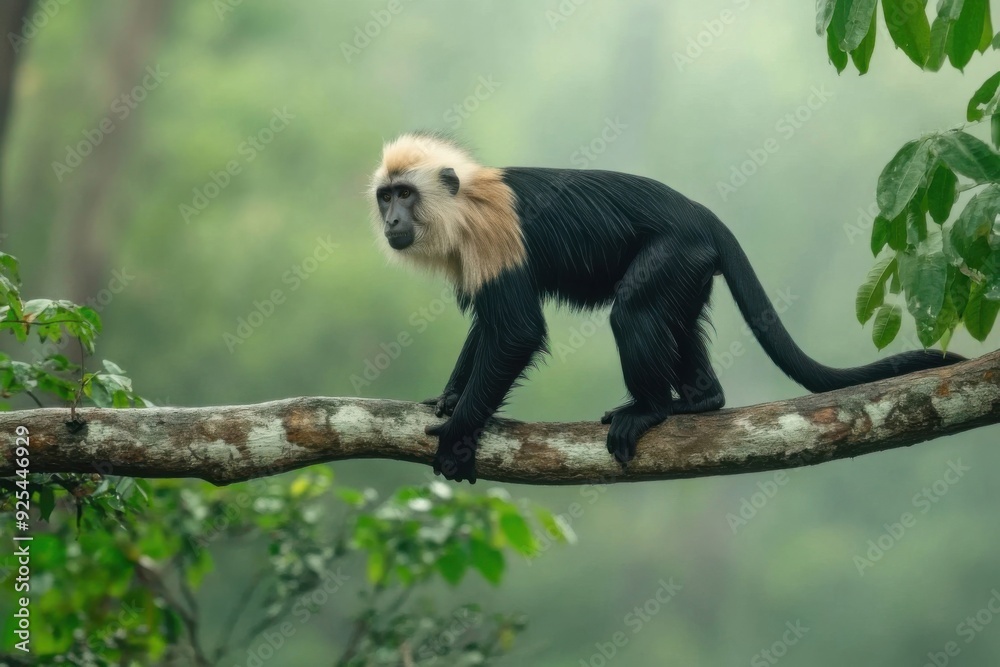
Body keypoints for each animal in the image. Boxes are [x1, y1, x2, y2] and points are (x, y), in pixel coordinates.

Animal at [369, 132, 965, 483]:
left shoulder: (492, 238)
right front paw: (450, 400)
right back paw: (702, 401)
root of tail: (701, 216)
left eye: (405, 195)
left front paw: (459, 433)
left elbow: (515, 331)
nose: (391, 220)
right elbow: (490, 327)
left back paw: (653, 408)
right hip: (691, 270)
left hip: (675, 253)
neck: (461, 201)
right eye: (386, 196)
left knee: (631, 311)